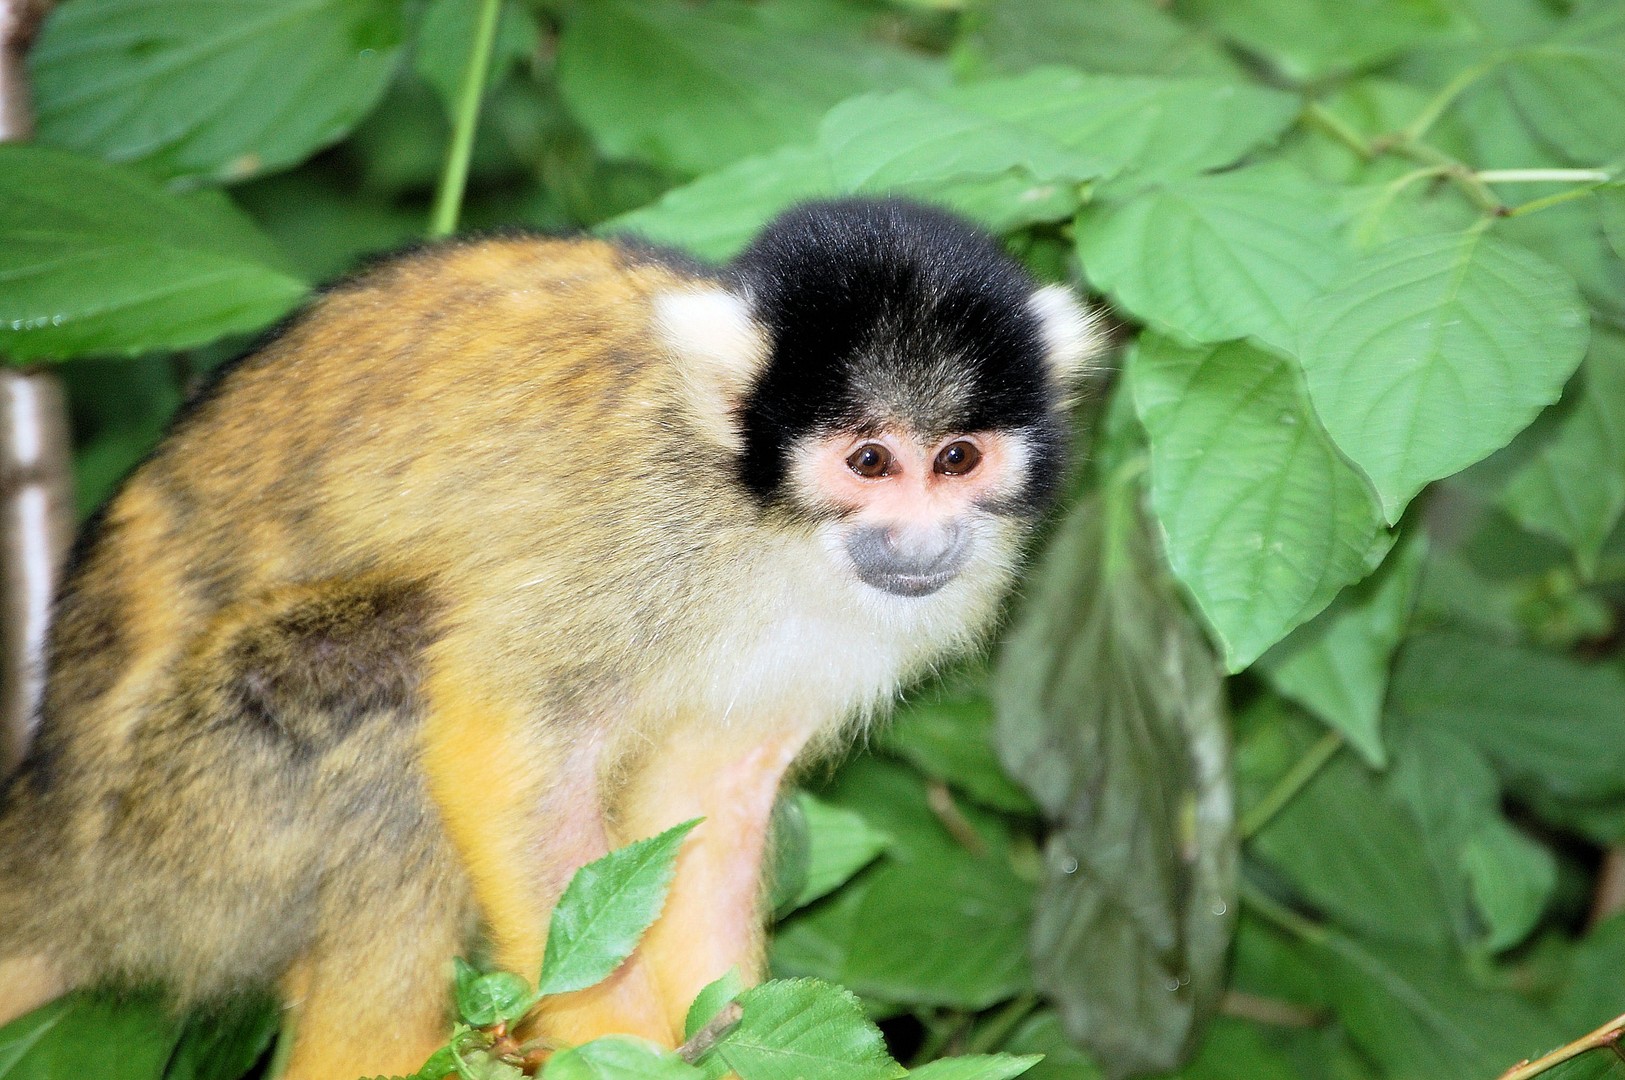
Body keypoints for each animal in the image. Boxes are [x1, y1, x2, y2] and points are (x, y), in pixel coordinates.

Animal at [0, 198, 1098, 1071]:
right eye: (868, 461)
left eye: (954, 459)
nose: (920, 537)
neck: (763, 523)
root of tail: (49, 842)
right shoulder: (631, 531)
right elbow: (504, 746)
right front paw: (630, 1054)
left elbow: (702, 797)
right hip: (174, 841)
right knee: (400, 691)